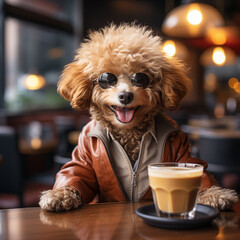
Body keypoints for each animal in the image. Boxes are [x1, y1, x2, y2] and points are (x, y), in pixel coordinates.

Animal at [39, 23, 236, 212]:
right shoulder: (83, 153)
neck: (129, 133)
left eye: (141, 78)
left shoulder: (182, 149)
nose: (125, 96)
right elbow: (76, 172)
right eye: (106, 79)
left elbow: (194, 167)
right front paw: (60, 195)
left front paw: (215, 194)